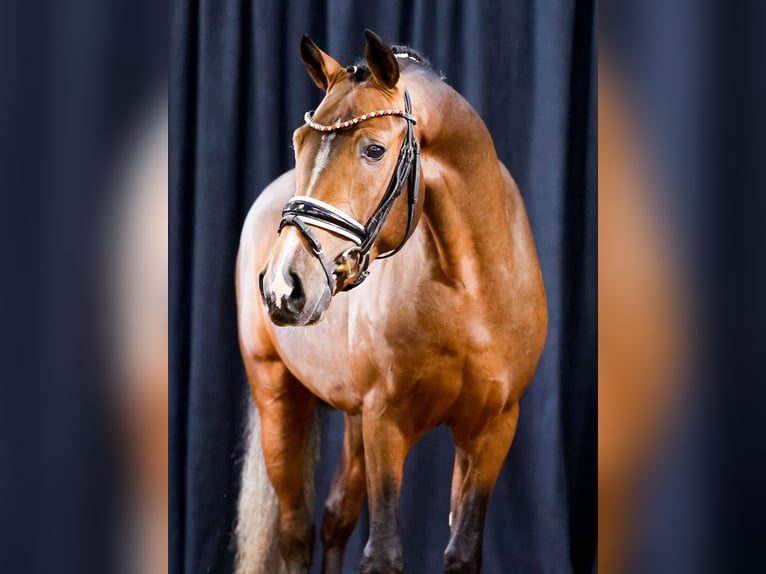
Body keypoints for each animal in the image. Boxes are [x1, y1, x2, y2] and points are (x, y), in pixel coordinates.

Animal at [237, 31, 548, 574]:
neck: (470, 290)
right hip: (276, 394)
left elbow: (462, 550)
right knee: (296, 531)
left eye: (374, 149)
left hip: (353, 418)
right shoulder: (387, 423)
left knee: (336, 517)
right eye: (298, 143)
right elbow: (383, 553)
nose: (281, 286)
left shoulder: (491, 430)